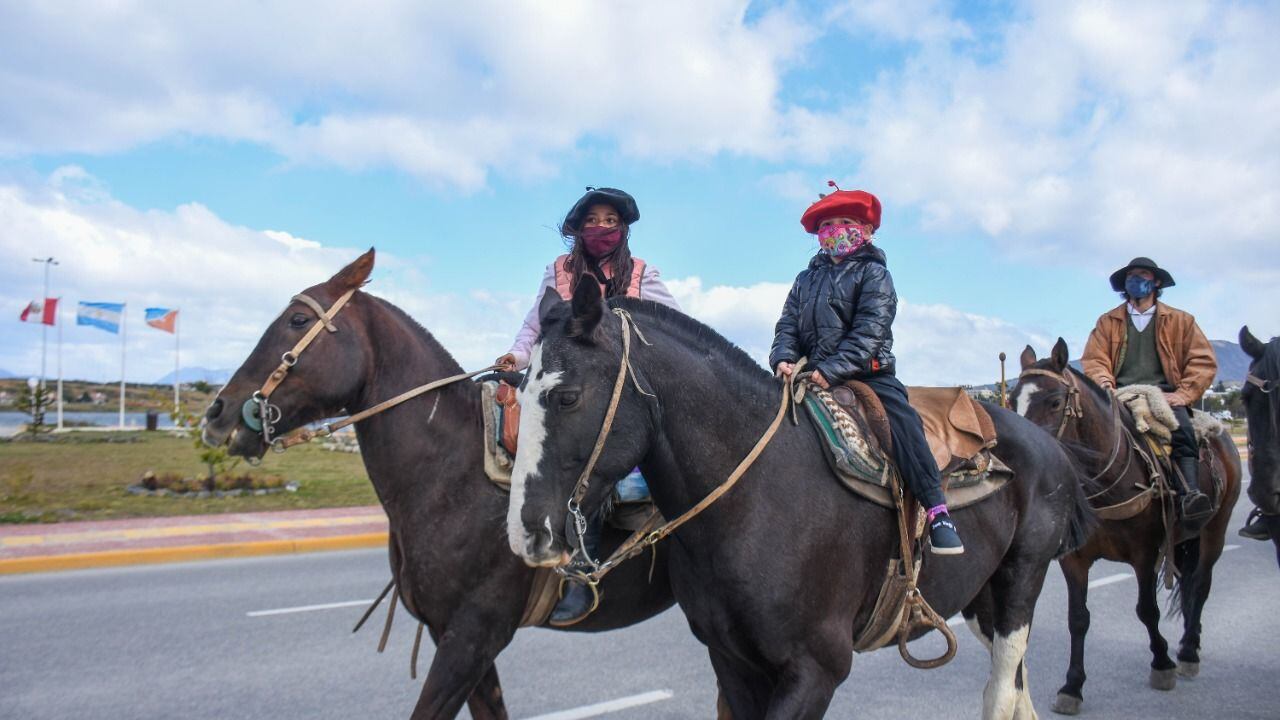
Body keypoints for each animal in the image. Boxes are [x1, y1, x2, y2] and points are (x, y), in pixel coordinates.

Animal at [504, 280, 1095, 717]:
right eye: (519, 390)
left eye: (566, 396)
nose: (527, 531)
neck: (757, 498)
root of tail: (1048, 445)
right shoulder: (733, 663)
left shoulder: (817, 668)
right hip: (981, 597)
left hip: (1021, 581)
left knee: (1001, 690)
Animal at [1008, 338, 1239, 712]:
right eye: (1012, 401)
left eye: (1055, 402)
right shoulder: (1074, 560)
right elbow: (1078, 618)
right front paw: (1072, 686)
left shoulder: (1145, 554)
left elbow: (1147, 610)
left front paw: (1162, 663)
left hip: (1215, 528)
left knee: (1201, 584)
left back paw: (1189, 651)